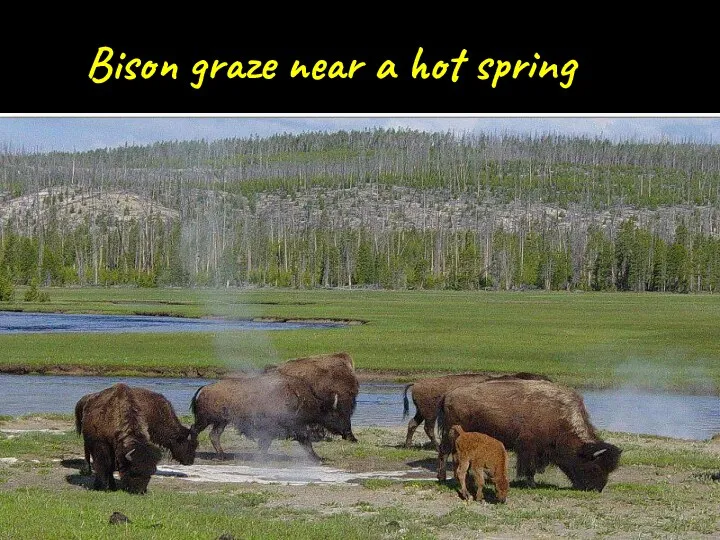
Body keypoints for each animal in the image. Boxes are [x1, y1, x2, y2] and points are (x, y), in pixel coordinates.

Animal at [404, 372, 552, 448]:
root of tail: (417, 383)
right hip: (430, 413)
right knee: (428, 428)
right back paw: (436, 446)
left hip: (421, 412)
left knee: (413, 424)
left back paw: (408, 445)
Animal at [436, 378, 620, 492]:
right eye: (595, 466)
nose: (597, 488)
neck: (558, 416)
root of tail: (448, 395)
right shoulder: (529, 447)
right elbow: (529, 467)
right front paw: (531, 483)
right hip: (450, 434)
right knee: (444, 453)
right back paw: (444, 478)